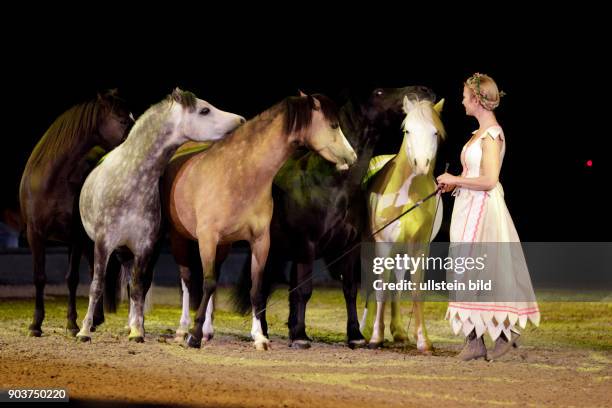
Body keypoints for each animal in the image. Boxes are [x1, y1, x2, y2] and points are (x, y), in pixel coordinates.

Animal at [19, 91, 133, 336]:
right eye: (122, 120)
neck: (54, 179)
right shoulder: (35, 234)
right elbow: (39, 277)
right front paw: (35, 324)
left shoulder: (75, 237)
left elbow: (72, 279)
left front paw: (71, 324)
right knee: (95, 271)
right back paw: (96, 319)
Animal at [77, 88, 245, 342]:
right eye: (204, 110)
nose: (241, 121)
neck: (129, 181)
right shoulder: (103, 244)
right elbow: (97, 286)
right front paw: (84, 331)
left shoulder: (145, 246)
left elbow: (138, 287)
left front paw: (137, 331)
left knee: (136, 283)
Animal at [161, 93, 358, 350]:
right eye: (334, 125)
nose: (352, 156)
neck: (240, 175)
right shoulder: (207, 239)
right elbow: (207, 283)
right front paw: (193, 336)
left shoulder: (260, 241)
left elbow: (255, 289)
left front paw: (259, 337)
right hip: (179, 238)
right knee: (186, 279)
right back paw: (182, 330)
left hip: (223, 246)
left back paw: (207, 331)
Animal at [360, 97, 448, 352]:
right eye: (407, 130)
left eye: (435, 132)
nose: (421, 165)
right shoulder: (382, 245)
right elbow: (379, 288)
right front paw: (376, 336)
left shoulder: (419, 247)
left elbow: (415, 291)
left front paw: (423, 340)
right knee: (371, 283)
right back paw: (365, 329)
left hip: (401, 252)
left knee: (396, 284)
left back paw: (398, 331)